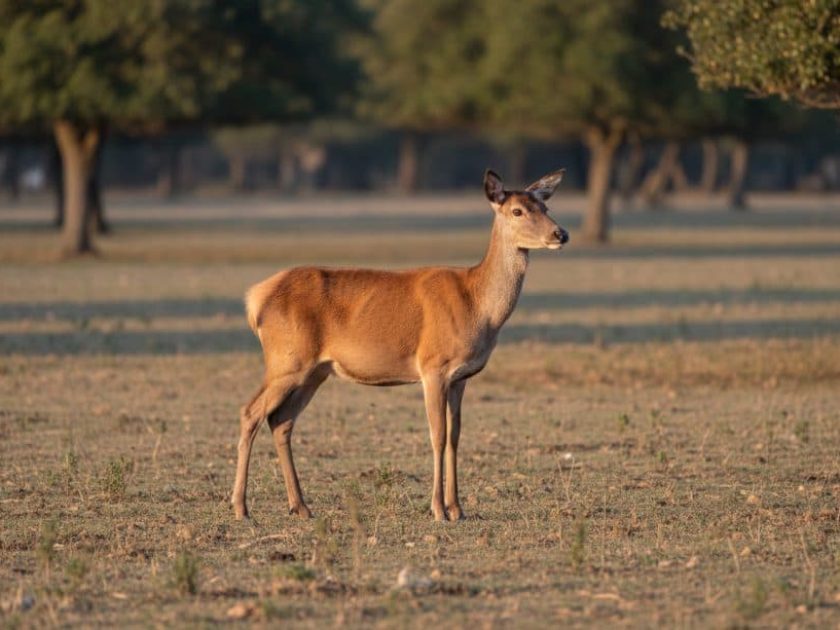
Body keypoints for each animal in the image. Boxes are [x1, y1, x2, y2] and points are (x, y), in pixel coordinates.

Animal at [232, 168, 569, 522]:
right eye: (517, 210)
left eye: (544, 206)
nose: (561, 234)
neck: (477, 305)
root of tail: (256, 299)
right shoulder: (433, 366)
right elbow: (437, 435)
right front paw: (438, 509)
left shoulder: (461, 377)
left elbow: (455, 437)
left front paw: (457, 508)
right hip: (286, 360)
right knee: (250, 412)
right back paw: (241, 507)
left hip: (314, 372)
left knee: (281, 420)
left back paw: (300, 506)